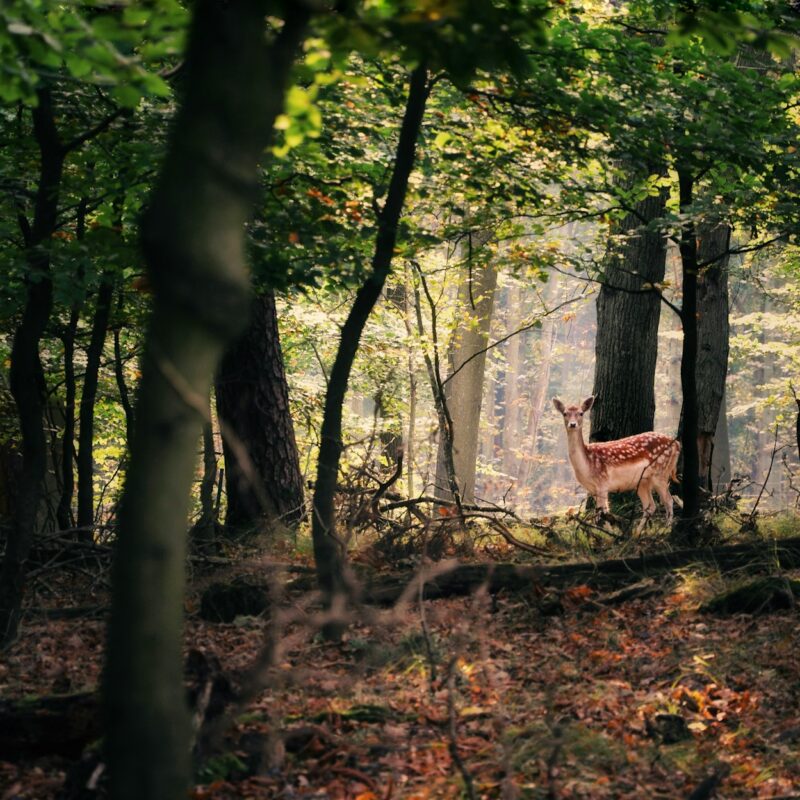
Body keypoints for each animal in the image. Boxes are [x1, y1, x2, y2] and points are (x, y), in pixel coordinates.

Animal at [556, 396, 680, 536]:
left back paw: (666, 529)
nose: (572, 424)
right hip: (643, 482)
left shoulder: (602, 483)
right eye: (565, 413)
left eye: (581, 413)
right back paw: (636, 534)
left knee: (668, 500)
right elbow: (599, 513)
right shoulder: (592, 489)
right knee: (650, 506)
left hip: (661, 472)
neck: (586, 466)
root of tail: (677, 445)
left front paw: (609, 536)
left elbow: (603, 512)